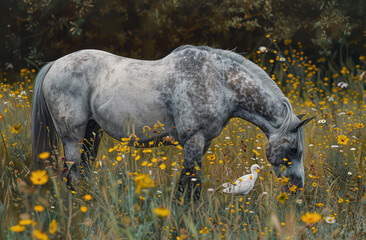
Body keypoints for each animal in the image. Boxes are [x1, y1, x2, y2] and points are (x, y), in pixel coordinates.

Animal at [31, 44, 314, 199]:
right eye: (293, 149)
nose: (297, 187)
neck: (217, 82)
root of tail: (54, 64)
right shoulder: (193, 140)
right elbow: (190, 184)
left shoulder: (203, 143)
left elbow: (189, 181)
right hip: (72, 137)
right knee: (72, 175)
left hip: (92, 133)